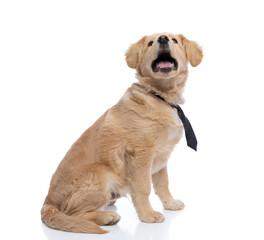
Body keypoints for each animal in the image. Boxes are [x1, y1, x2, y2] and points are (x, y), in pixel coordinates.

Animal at [40, 32, 202, 233]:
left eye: (174, 40)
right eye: (150, 43)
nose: (163, 38)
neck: (160, 96)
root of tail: (48, 203)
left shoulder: (162, 155)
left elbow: (162, 184)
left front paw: (170, 203)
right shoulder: (140, 154)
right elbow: (144, 188)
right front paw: (148, 215)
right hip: (100, 174)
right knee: (74, 214)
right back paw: (107, 217)